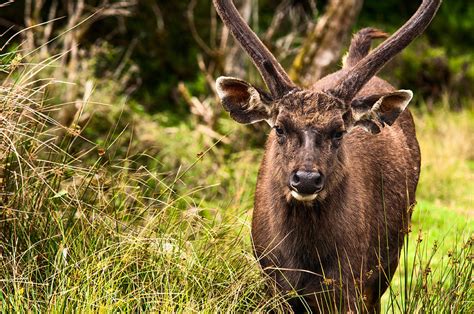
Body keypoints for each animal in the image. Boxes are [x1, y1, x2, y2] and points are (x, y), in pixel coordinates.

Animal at [211, 0, 440, 312]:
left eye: (339, 131)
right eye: (279, 128)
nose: (306, 179)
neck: (303, 259)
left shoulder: (350, 281)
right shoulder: (271, 281)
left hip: (387, 261)